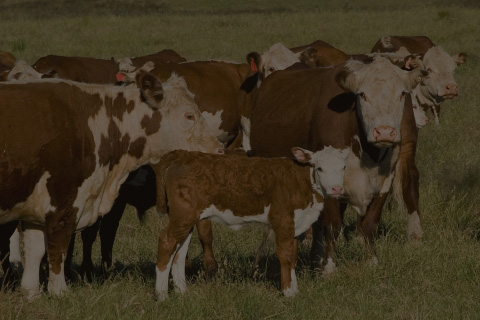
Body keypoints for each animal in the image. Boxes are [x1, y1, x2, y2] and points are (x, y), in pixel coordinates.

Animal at [0, 72, 224, 298]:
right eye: (189, 116)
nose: (220, 149)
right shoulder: (63, 205)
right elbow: (58, 251)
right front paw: (59, 293)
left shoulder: (35, 209)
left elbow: (35, 250)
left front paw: (31, 293)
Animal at [153, 146, 348, 298]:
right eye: (320, 168)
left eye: (343, 167)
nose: (337, 189)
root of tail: (183, 154)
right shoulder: (282, 221)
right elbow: (285, 256)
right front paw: (287, 292)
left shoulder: (295, 225)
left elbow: (293, 256)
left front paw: (294, 290)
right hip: (183, 216)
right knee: (167, 242)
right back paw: (162, 295)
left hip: (187, 219)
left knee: (179, 251)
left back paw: (182, 292)